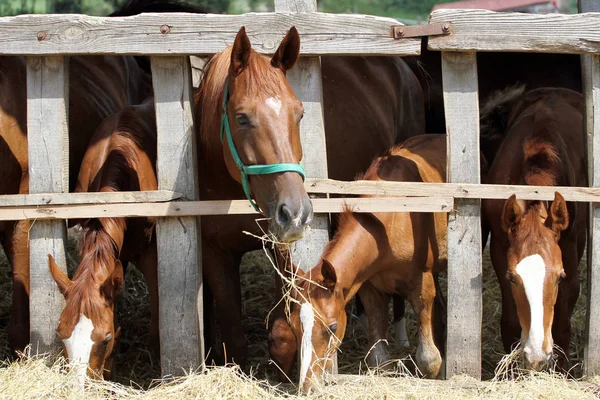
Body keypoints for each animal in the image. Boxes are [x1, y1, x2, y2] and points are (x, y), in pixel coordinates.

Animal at [193, 24, 426, 368]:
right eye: (242, 117)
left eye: (300, 114)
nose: (296, 211)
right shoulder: (215, 254)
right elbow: (234, 342)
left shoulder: (282, 251)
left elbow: (282, 335)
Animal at [288, 135, 450, 394]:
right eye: (294, 327)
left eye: (332, 327)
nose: (308, 386)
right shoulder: (370, 289)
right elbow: (378, 359)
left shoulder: (422, 285)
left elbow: (428, 360)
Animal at [482, 86, 584, 368]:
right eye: (512, 278)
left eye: (559, 276)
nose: (538, 354)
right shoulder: (499, 248)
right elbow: (509, 322)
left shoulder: (568, 252)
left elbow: (562, 323)